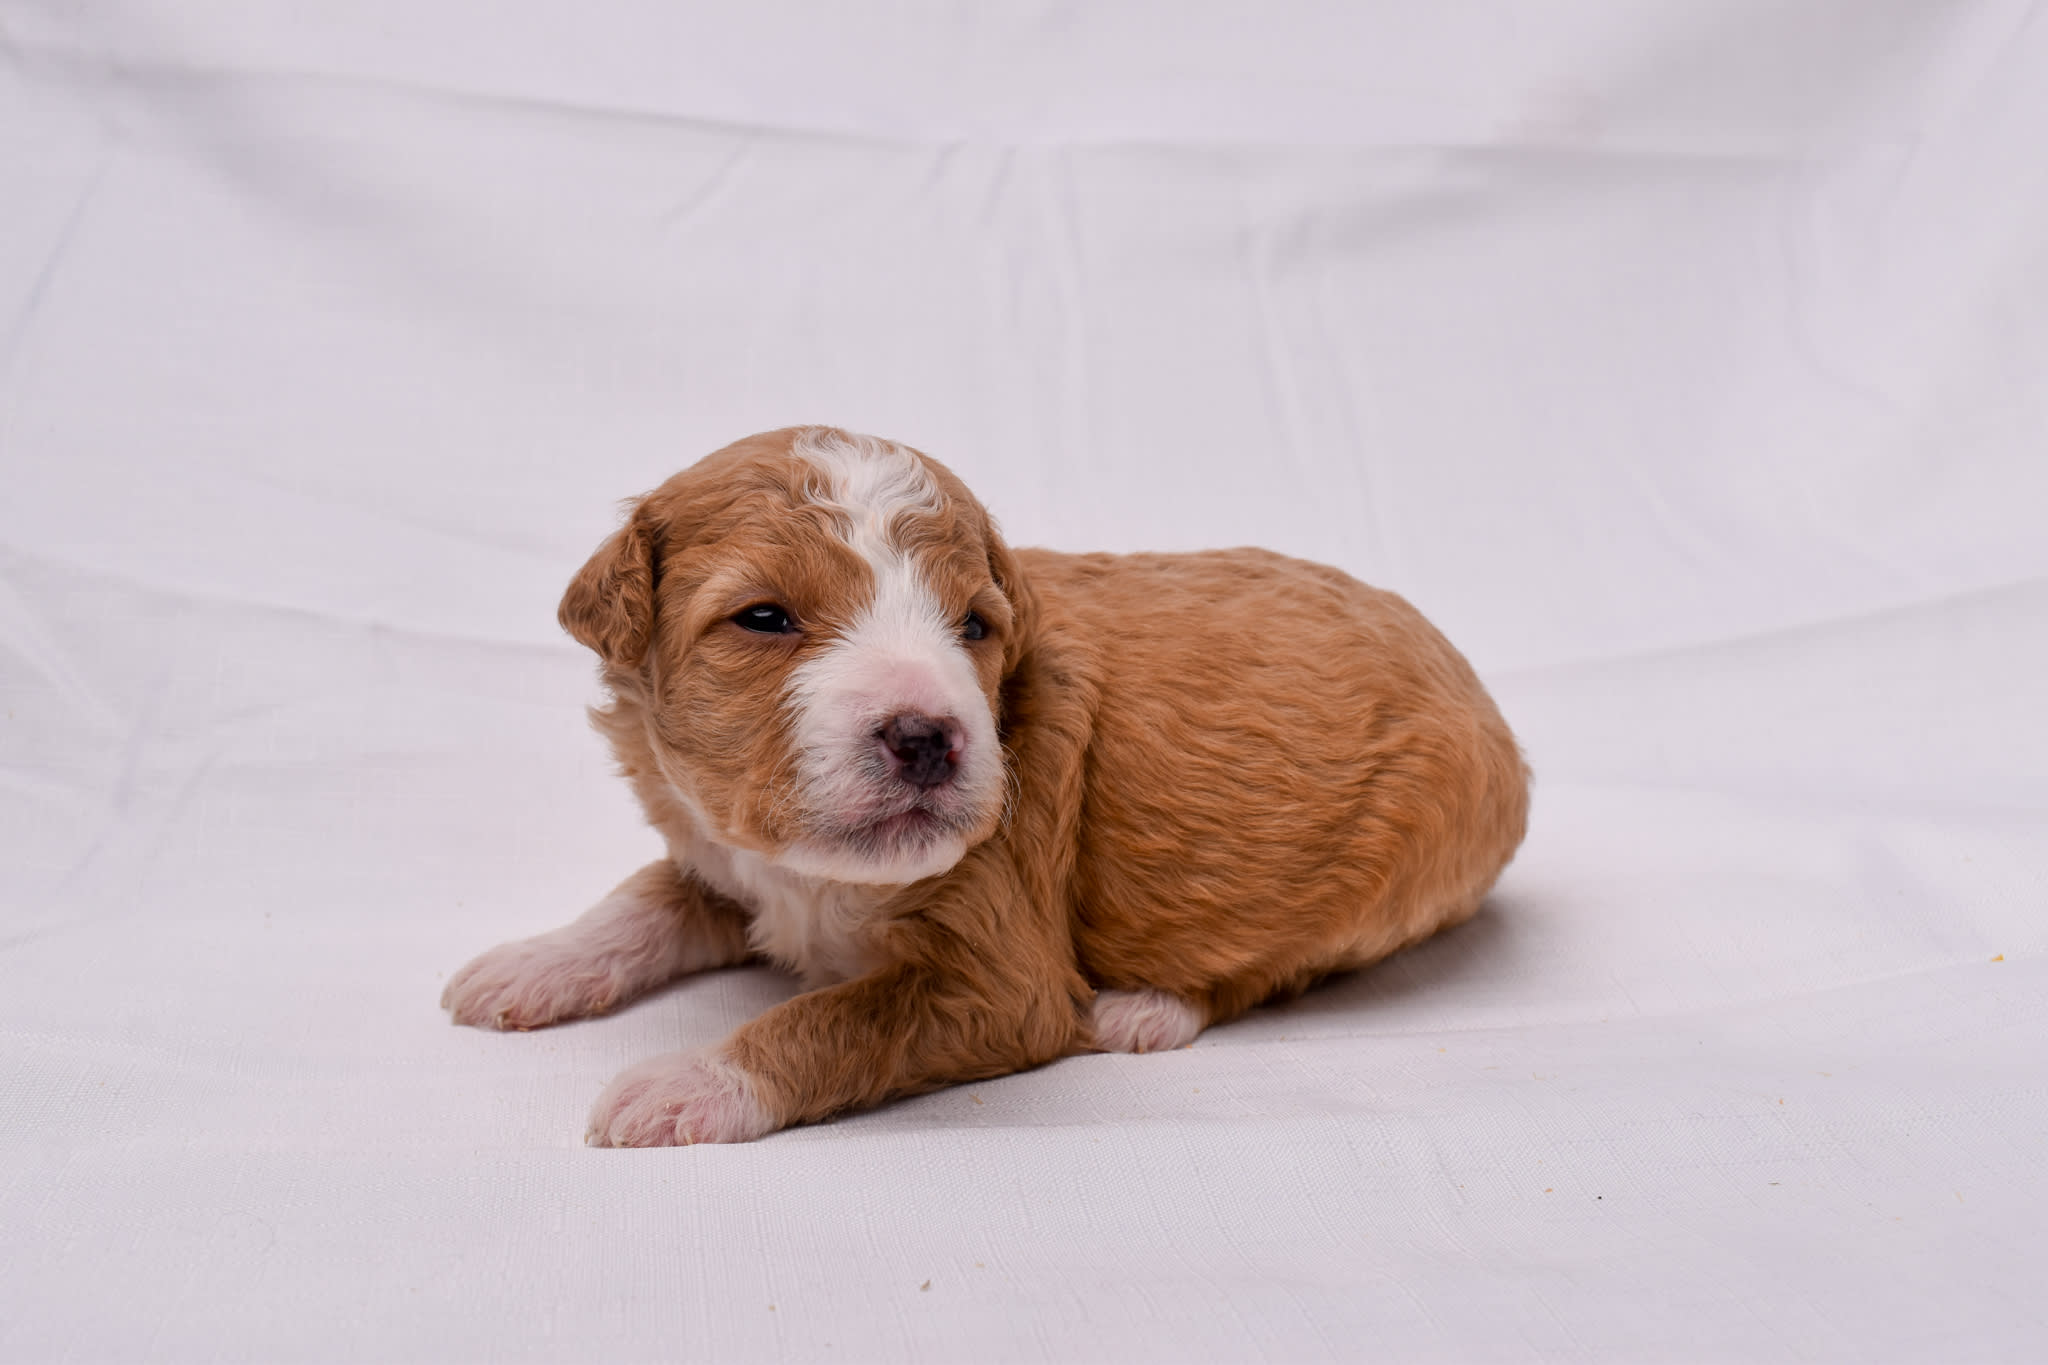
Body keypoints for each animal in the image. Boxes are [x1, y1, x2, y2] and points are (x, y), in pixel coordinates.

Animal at [452, 423, 1540, 1146]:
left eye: (974, 624)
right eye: (762, 617)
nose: (927, 736)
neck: (812, 879)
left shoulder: (998, 973)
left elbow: (832, 1018)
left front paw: (686, 1081)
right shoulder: (723, 852)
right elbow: (644, 895)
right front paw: (529, 964)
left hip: (1391, 855)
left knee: (1280, 959)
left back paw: (1148, 1009)